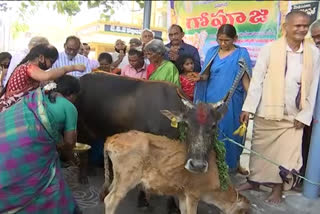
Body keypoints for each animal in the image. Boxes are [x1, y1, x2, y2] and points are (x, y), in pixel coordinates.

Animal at [101, 130, 249, 214]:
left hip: (118, 178)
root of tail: (113, 138)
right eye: (243, 212)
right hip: (127, 179)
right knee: (110, 200)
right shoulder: (193, 195)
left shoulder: (183, 194)